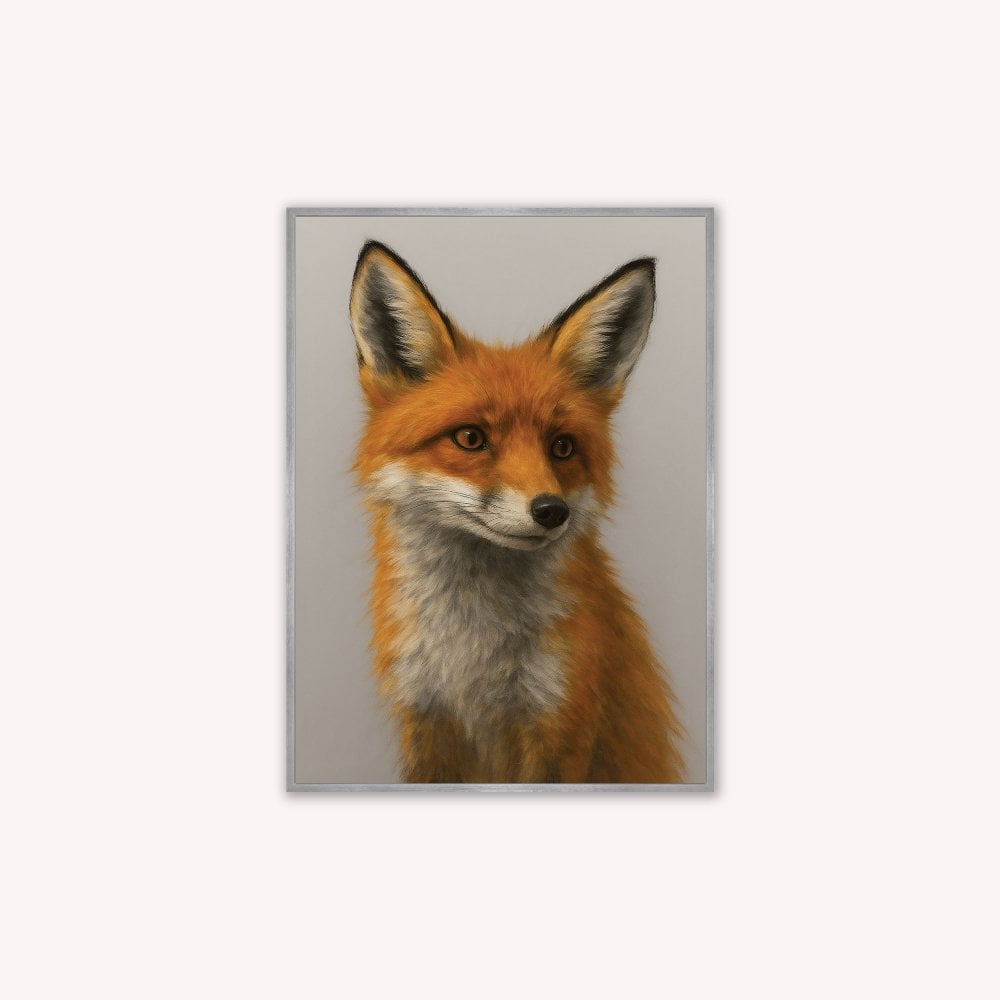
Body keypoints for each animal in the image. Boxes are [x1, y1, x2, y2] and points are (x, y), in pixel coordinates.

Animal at [348, 240, 685, 783]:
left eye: (562, 447)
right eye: (470, 438)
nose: (552, 511)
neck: (471, 654)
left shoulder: (560, 722)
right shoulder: (426, 720)